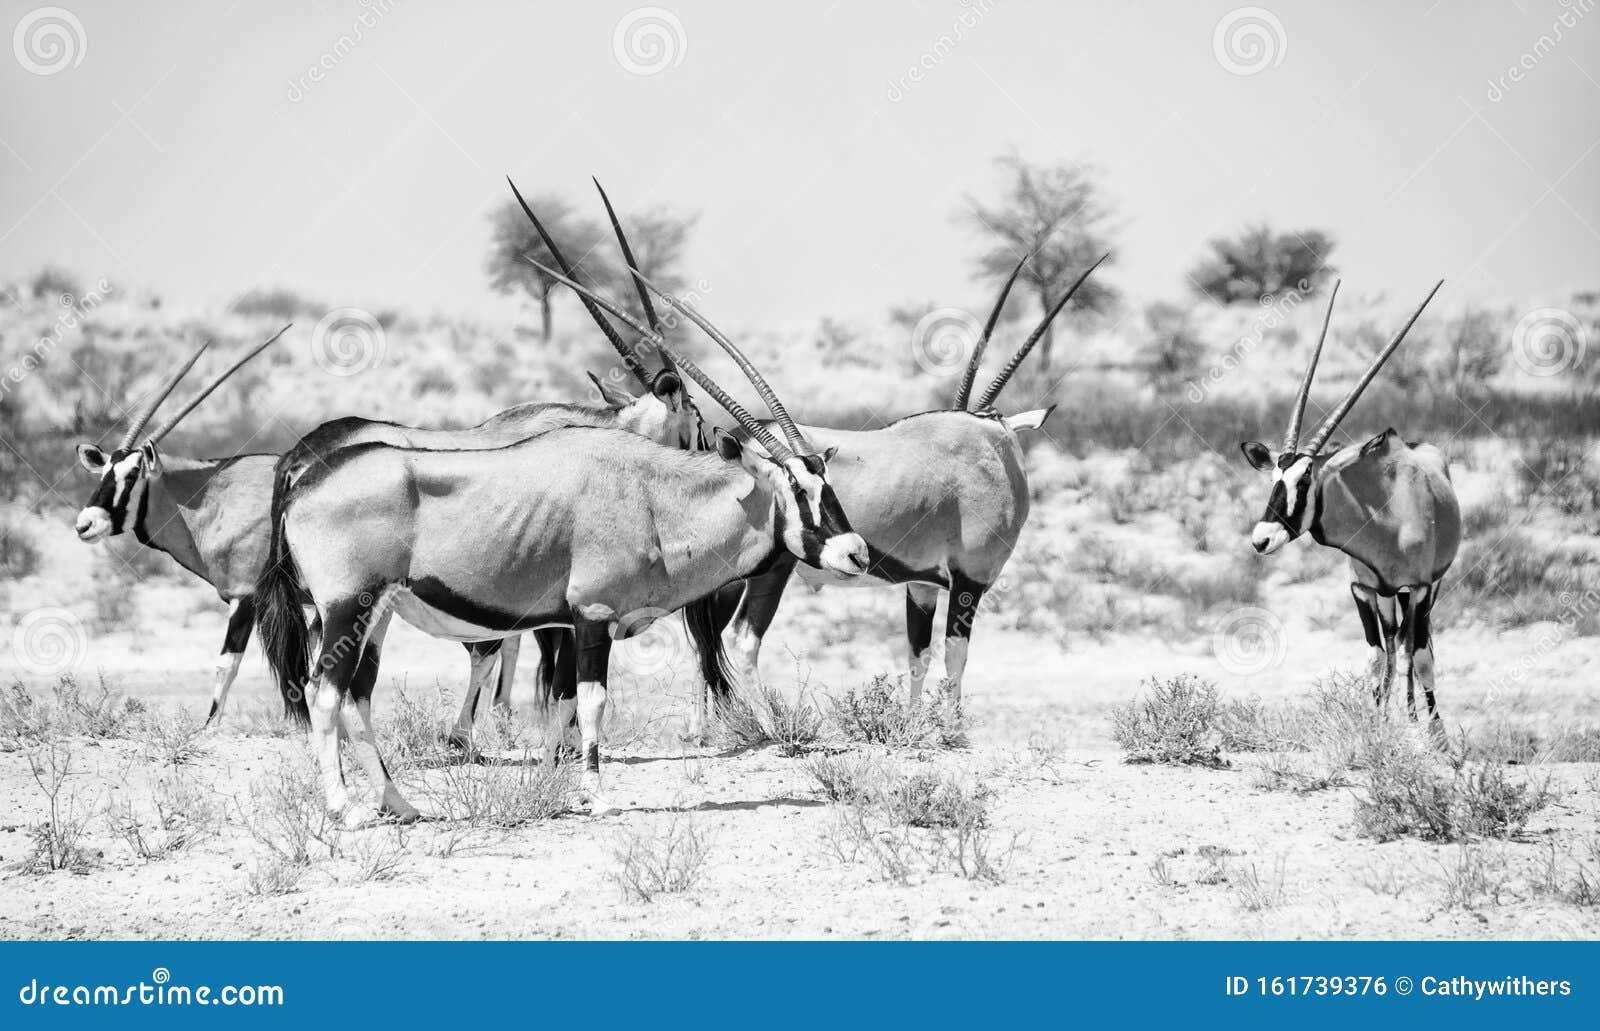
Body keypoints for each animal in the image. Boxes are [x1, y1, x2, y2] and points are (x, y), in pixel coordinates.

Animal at [72, 327, 289, 720]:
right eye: (105, 471)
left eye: (133, 475)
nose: (86, 524)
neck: (215, 500)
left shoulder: (245, 597)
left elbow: (226, 667)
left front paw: (208, 729)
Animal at [254, 283, 869, 825]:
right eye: (798, 489)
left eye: (826, 480)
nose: (857, 554)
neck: (649, 496)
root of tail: (301, 481)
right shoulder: (591, 617)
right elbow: (591, 701)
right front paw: (593, 796)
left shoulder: (569, 625)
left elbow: (567, 699)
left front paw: (561, 776)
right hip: (345, 608)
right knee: (323, 693)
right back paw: (345, 809)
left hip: (376, 614)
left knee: (357, 695)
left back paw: (402, 806)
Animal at [537, 252, 1105, 712]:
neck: (990, 445)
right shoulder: (970, 580)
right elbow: (955, 657)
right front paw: (950, 728)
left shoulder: (922, 585)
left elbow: (918, 655)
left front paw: (913, 724)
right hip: (763, 572)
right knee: (736, 640)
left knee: (706, 641)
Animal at [1239, 280, 1459, 731]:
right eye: (1273, 479)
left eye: (1305, 479)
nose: (1261, 539)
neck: (1386, 519)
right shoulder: (1362, 588)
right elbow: (1377, 659)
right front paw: (1377, 728)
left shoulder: (1420, 587)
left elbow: (1420, 658)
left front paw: (1428, 736)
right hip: (1389, 597)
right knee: (1395, 647)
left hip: (1424, 591)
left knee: (1415, 650)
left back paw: (1421, 720)